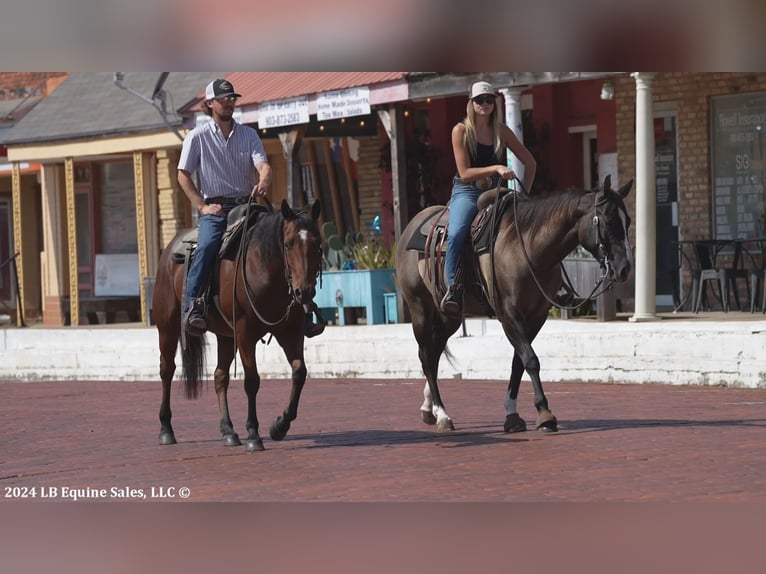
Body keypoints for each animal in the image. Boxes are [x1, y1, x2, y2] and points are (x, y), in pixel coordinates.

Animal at [154, 200, 322, 452]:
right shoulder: (245, 332)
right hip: (167, 327)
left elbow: (299, 372)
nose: (305, 292)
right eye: (288, 243)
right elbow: (252, 381)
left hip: (225, 336)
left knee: (219, 376)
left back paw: (228, 431)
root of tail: (169, 250)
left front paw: (279, 426)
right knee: (167, 370)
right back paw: (166, 429)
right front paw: (253, 434)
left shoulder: (290, 330)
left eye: (317, 243)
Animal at [396, 178, 636, 434]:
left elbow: (518, 363)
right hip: (420, 308)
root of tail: (411, 227)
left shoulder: (536, 316)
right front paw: (545, 414)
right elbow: (530, 359)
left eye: (628, 221)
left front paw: (512, 415)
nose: (625, 269)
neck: (527, 249)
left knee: (434, 354)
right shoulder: (509, 315)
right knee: (425, 357)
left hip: (448, 316)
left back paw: (428, 407)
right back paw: (442, 414)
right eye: (608, 220)